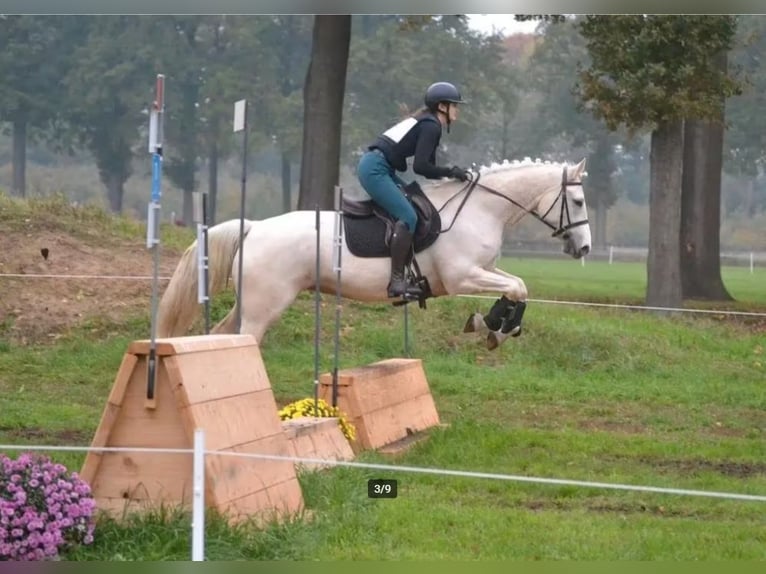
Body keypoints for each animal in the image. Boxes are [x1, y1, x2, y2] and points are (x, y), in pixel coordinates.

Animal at [156, 157, 591, 351]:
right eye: (578, 201)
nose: (584, 247)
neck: (481, 207)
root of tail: (255, 226)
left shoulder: (484, 269)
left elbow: (518, 286)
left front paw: (494, 325)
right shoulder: (462, 275)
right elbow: (518, 287)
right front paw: (493, 325)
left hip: (250, 301)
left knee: (222, 335)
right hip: (266, 305)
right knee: (245, 338)